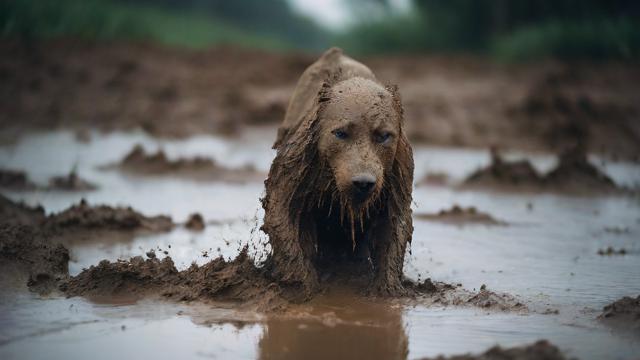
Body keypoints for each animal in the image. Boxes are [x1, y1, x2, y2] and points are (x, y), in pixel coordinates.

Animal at [262, 46, 416, 298]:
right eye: (341, 133)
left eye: (383, 135)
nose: (363, 182)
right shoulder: (299, 164)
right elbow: (282, 212)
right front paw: (302, 285)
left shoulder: (396, 174)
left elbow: (395, 224)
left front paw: (386, 290)